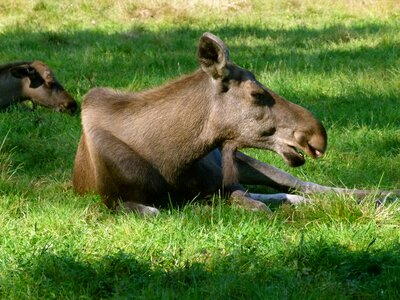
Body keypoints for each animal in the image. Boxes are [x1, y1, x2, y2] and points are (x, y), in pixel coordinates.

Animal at [73, 32, 398, 216]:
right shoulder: (113, 200)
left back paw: (383, 195)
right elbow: (157, 210)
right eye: (256, 94)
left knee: (304, 186)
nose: (317, 135)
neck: (171, 159)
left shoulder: (219, 182)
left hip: (243, 161)